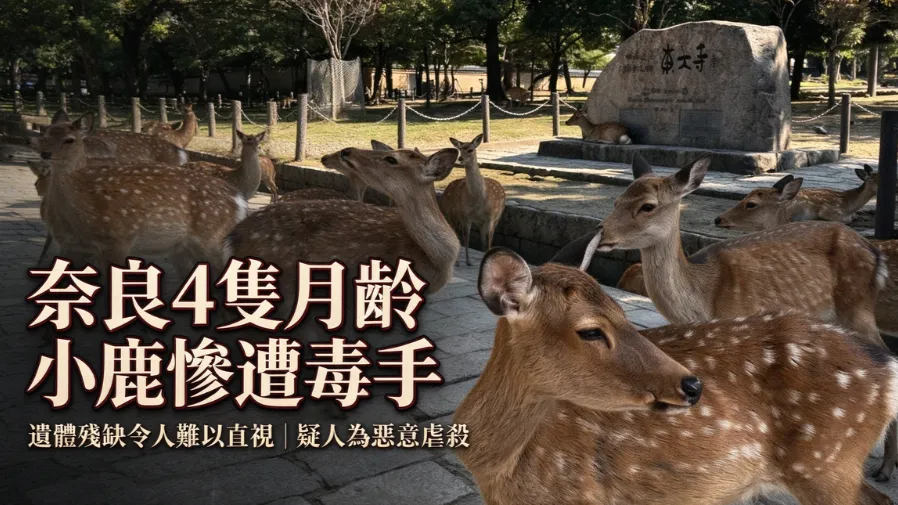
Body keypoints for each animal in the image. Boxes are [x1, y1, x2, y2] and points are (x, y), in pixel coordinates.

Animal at [440, 134, 506, 266]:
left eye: (470, 150)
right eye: (460, 149)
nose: (460, 158)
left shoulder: (490, 217)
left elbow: (488, 241)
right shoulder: (466, 216)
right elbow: (467, 238)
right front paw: (468, 261)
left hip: (495, 218)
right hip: (450, 212)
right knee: (455, 233)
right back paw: (457, 262)